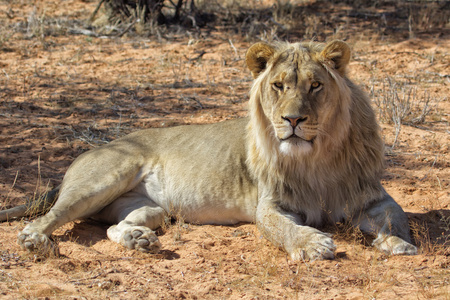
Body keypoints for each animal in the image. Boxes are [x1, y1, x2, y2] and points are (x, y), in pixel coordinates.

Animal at [0, 39, 416, 260]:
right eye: (279, 86)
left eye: (315, 85)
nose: (293, 120)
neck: (317, 158)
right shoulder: (271, 205)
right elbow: (284, 228)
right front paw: (311, 244)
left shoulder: (372, 195)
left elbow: (397, 218)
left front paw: (397, 243)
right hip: (104, 178)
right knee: (47, 217)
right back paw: (35, 241)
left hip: (150, 209)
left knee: (115, 226)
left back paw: (138, 240)